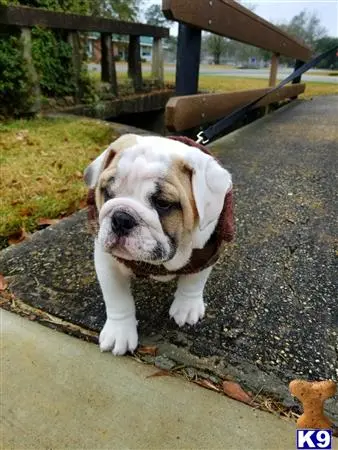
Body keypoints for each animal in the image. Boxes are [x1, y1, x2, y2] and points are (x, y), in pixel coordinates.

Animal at [84, 134, 234, 356]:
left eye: (163, 204)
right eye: (107, 192)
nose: (122, 218)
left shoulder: (206, 253)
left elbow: (194, 281)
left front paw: (186, 307)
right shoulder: (108, 262)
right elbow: (117, 298)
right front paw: (119, 332)